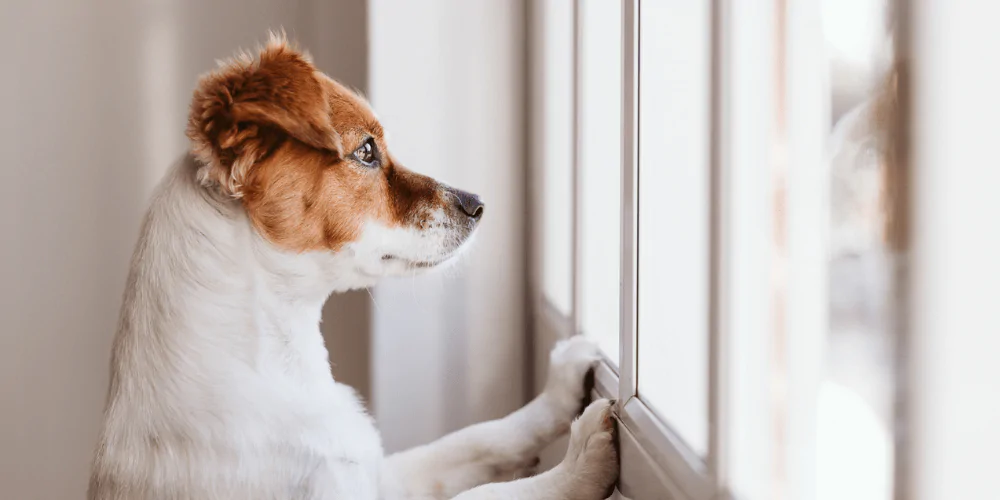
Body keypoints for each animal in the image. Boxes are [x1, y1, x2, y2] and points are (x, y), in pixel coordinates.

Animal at [88, 33, 616, 498]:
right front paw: (580, 462)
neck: (278, 364)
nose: (478, 204)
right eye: (365, 151)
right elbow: (489, 494)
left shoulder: (380, 474)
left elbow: (476, 439)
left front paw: (559, 389)